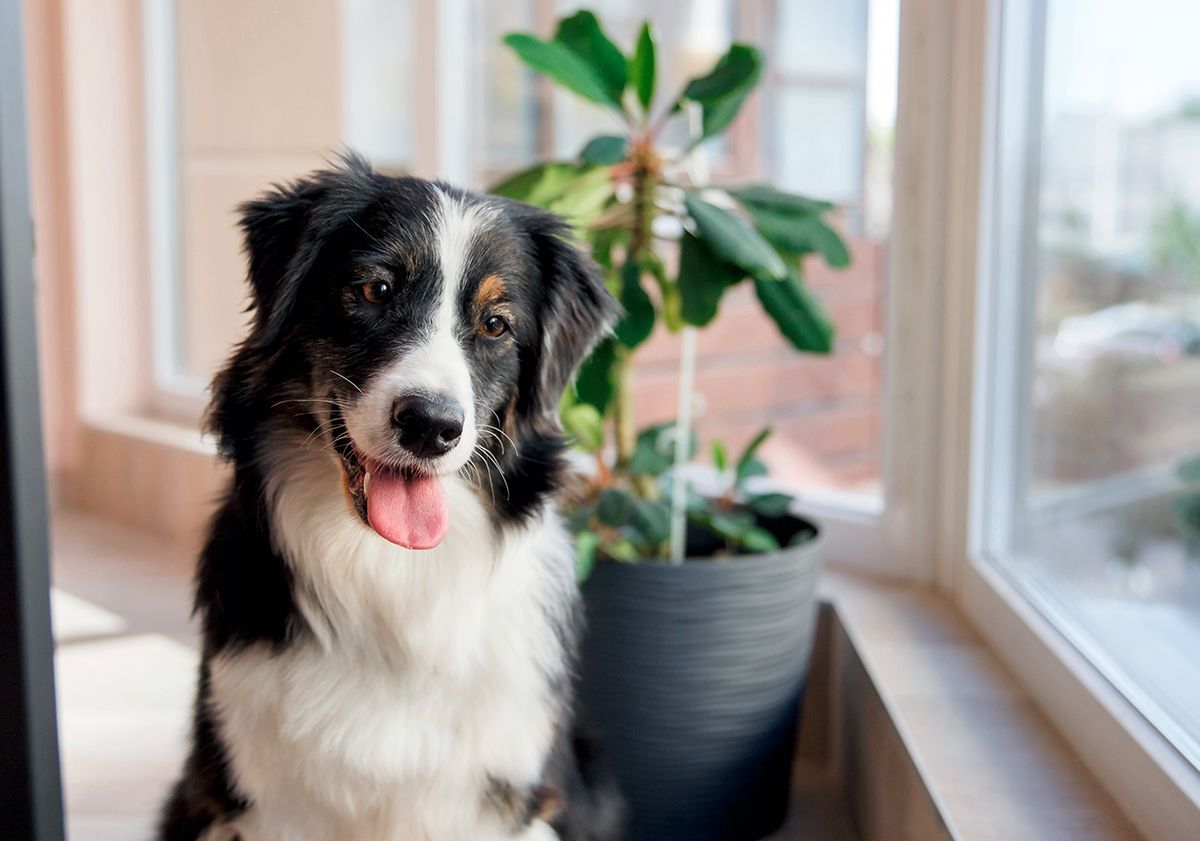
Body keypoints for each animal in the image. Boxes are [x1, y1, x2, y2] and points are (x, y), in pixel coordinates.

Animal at [158, 152, 624, 839]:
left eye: (495, 325)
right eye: (376, 290)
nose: (431, 425)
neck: (390, 566)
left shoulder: (504, 799)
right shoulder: (265, 795)